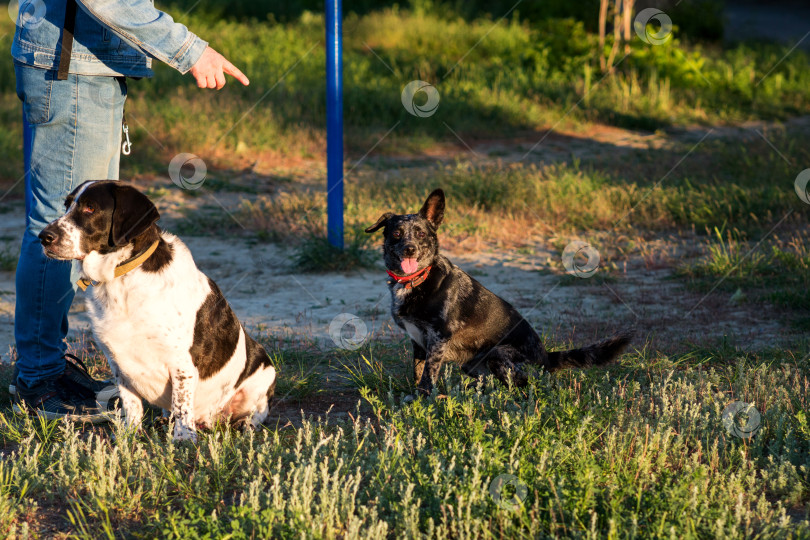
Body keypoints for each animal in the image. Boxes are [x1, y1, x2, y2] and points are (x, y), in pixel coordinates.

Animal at [39, 179, 274, 440]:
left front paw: (183, 438)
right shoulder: (118, 362)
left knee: (257, 413)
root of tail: (211, 420)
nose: (43, 237)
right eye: (67, 205)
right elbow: (131, 403)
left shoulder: (181, 362)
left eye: (90, 208)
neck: (122, 278)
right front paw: (129, 434)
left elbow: (181, 404)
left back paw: (244, 426)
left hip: (264, 373)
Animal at [366, 190, 632, 396]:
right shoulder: (418, 342)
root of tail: (546, 357)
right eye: (397, 234)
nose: (409, 249)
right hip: (472, 365)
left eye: (421, 233)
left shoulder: (438, 340)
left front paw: (422, 401)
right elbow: (418, 372)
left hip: (498, 355)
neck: (417, 279)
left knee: (524, 385)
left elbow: (427, 377)